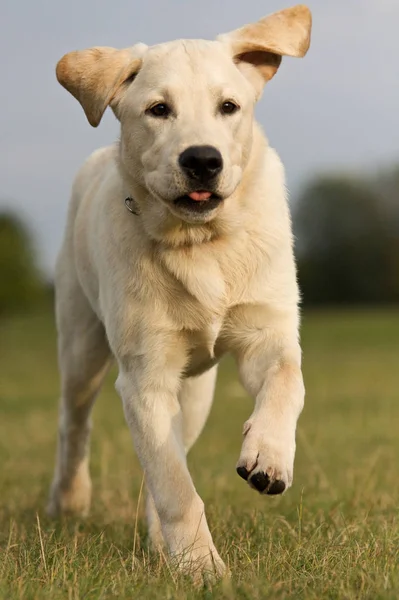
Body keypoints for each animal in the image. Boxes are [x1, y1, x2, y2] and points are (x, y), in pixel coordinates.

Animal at [48, 4, 312, 584]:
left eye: (228, 106)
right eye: (158, 109)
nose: (202, 160)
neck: (200, 242)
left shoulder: (267, 331)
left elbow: (287, 380)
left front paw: (269, 457)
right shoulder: (144, 377)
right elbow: (174, 485)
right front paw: (201, 569)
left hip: (195, 395)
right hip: (81, 347)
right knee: (76, 427)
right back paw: (68, 503)